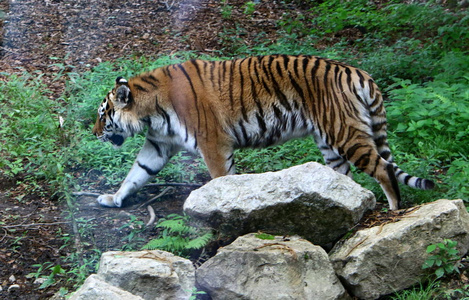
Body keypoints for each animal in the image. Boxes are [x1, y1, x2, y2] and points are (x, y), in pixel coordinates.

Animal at [92, 55, 436, 211]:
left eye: (102, 114)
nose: (94, 133)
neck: (152, 112)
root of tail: (360, 73)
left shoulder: (214, 144)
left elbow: (220, 180)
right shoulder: (158, 144)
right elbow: (137, 173)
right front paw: (113, 198)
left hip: (345, 134)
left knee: (384, 168)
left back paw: (393, 209)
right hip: (329, 143)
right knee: (348, 178)